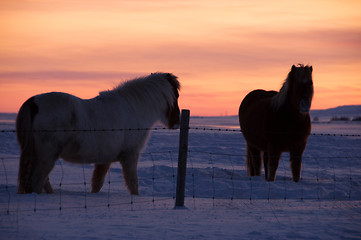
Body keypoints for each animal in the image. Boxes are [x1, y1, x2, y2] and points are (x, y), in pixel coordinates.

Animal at [16, 72, 180, 195]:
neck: (134, 109)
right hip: (47, 156)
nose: (176, 122)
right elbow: (134, 184)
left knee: (43, 181)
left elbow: (97, 184)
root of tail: (33, 102)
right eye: (176, 96)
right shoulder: (130, 156)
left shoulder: (104, 159)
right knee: (37, 182)